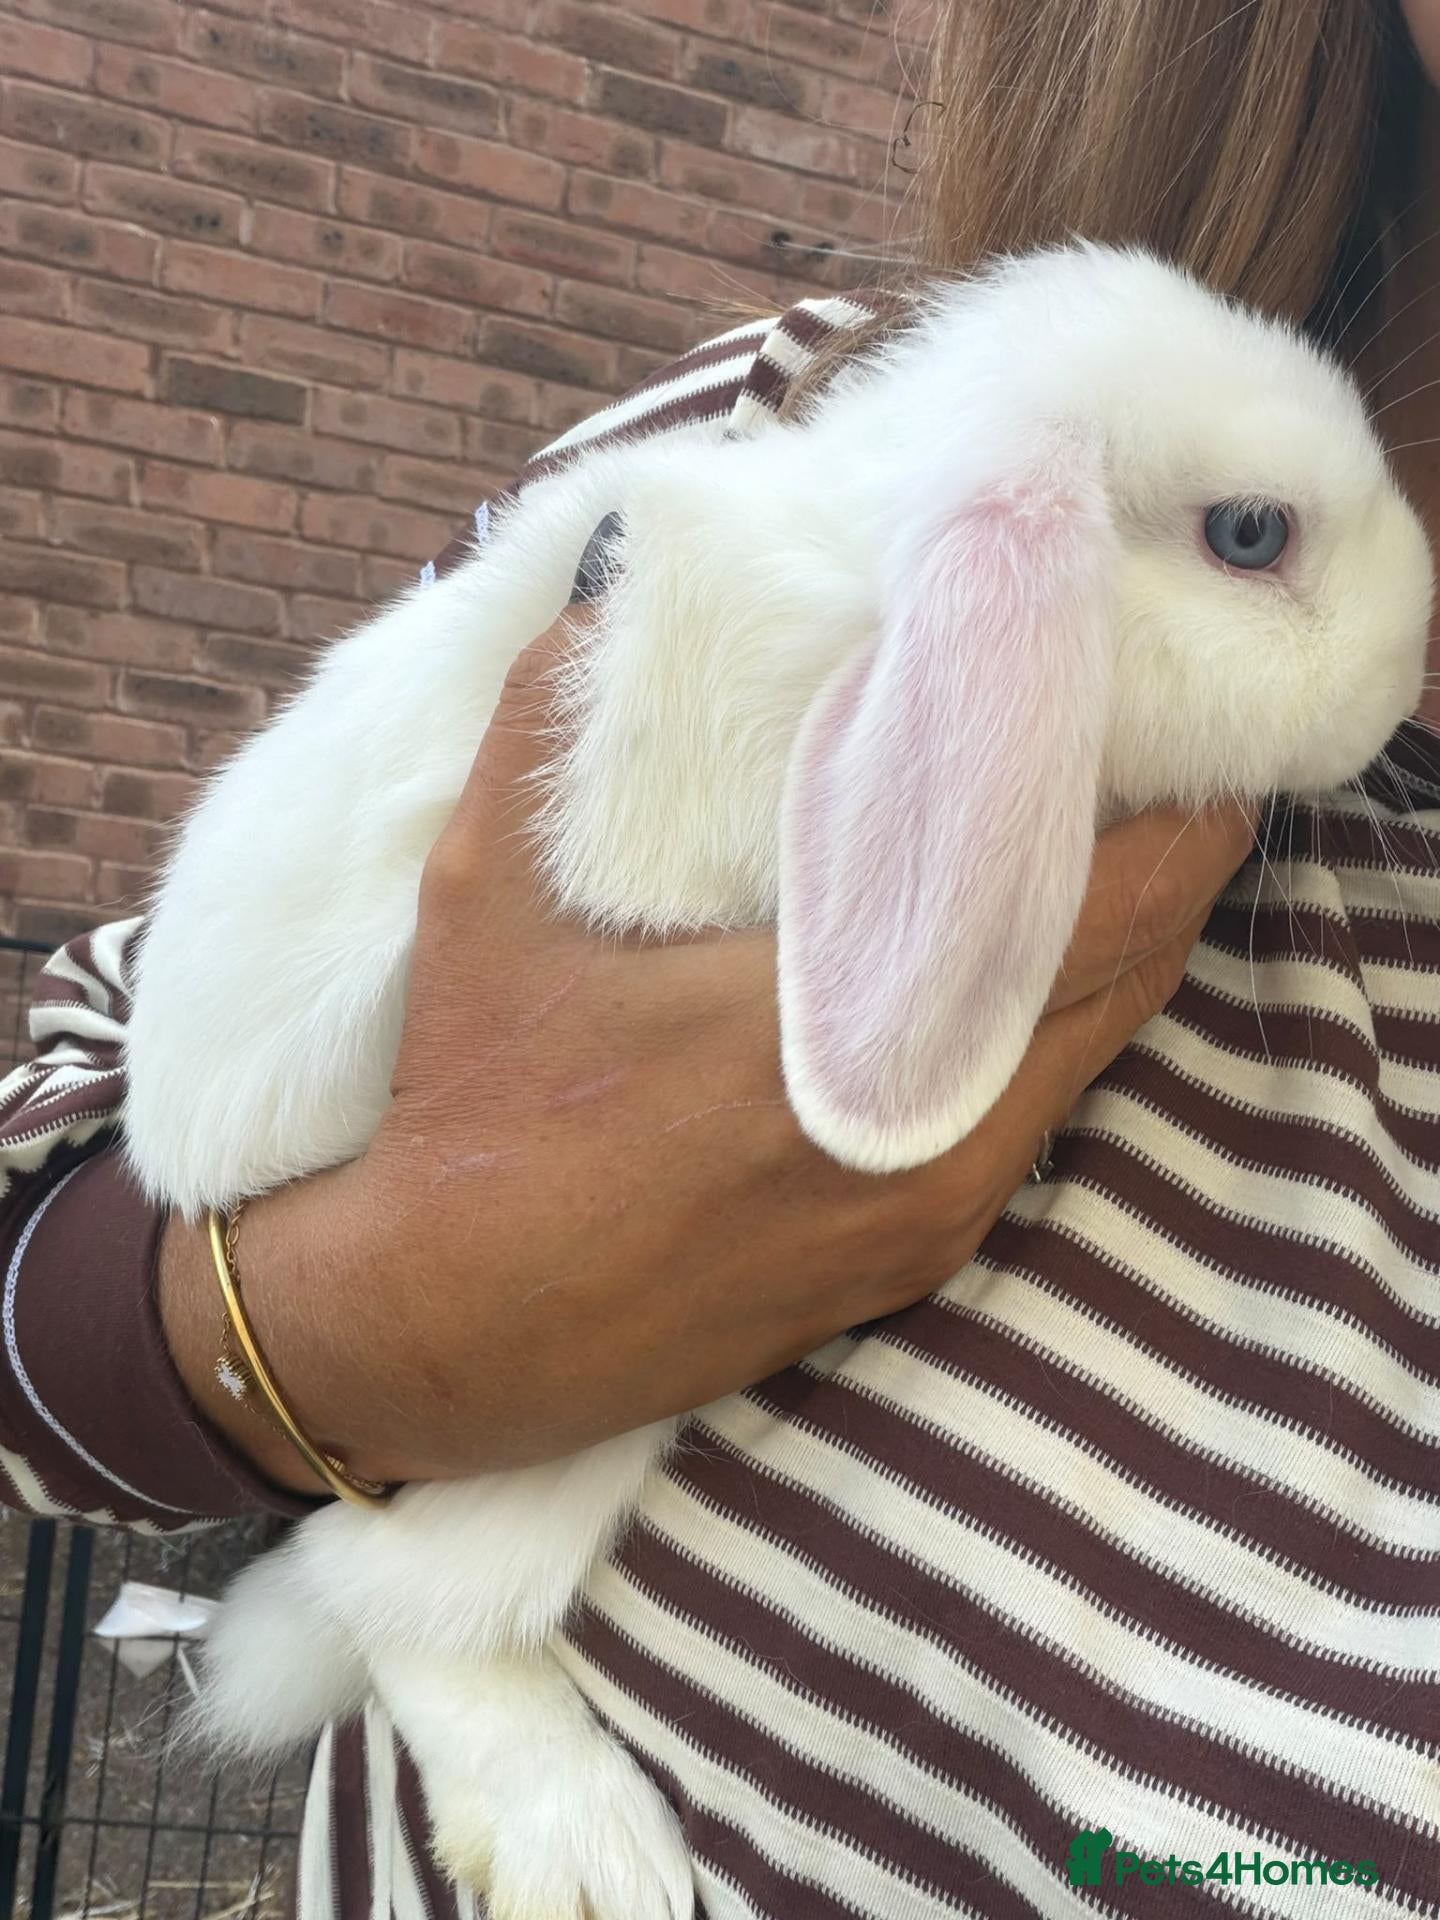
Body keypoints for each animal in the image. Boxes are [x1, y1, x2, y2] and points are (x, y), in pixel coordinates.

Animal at [122, 242, 1433, 1920]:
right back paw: (580, 1849)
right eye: (1252, 535)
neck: (859, 573)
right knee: (398, 1611)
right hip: (570, 1413)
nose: (1413, 652)